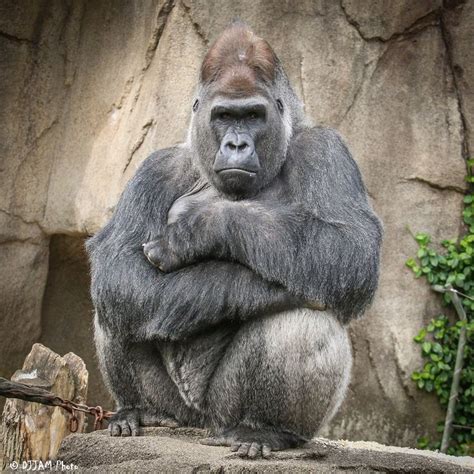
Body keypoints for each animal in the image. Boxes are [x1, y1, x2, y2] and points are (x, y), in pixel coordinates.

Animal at [86, 23, 382, 460]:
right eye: (224, 116)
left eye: (253, 116)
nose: (237, 145)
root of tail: (199, 427)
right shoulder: (157, 168)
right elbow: (118, 267)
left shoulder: (326, 149)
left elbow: (349, 250)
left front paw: (198, 228)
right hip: (179, 411)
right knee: (116, 304)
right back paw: (141, 411)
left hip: (222, 412)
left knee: (303, 316)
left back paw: (266, 431)